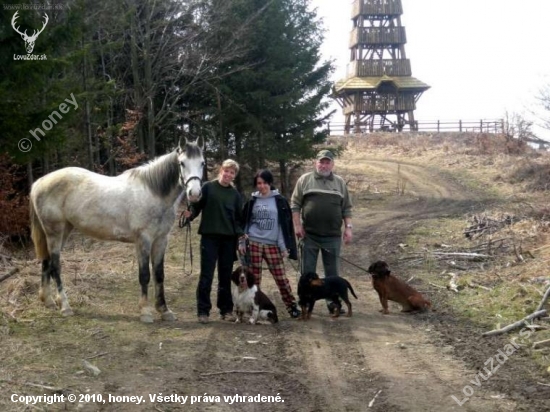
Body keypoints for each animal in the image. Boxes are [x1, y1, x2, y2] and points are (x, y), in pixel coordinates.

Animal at [28, 138, 205, 322]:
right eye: (182, 163)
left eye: (202, 163)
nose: (194, 193)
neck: (153, 193)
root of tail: (39, 182)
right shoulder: (143, 240)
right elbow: (145, 275)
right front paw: (145, 311)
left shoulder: (161, 240)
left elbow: (159, 275)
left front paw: (164, 310)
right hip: (54, 232)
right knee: (55, 266)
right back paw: (65, 306)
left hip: (63, 231)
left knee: (47, 262)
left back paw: (48, 301)